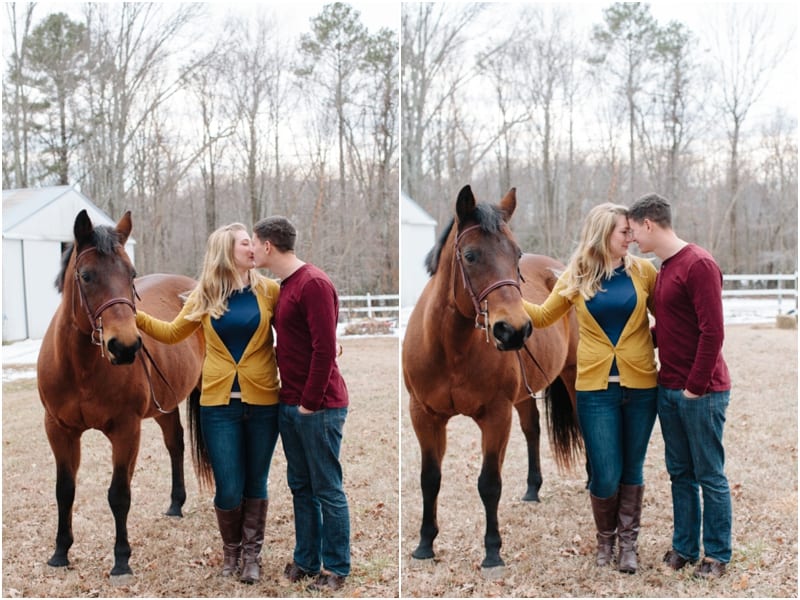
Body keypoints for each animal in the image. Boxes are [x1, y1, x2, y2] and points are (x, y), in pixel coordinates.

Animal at [38, 210, 206, 576]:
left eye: (131, 274)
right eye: (86, 276)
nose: (125, 346)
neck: (81, 370)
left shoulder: (125, 430)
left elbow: (119, 494)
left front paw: (121, 559)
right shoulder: (58, 430)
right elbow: (64, 490)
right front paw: (60, 552)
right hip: (163, 406)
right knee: (175, 444)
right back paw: (175, 504)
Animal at [406, 185, 580, 568]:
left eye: (516, 254)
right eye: (470, 256)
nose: (513, 330)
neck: (451, 349)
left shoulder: (495, 416)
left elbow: (489, 483)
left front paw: (492, 551)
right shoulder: (424, 416)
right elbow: (429, 479)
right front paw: (425, 544)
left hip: (574, 377)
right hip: (524, 396)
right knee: (532, 430)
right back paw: (532, 490)